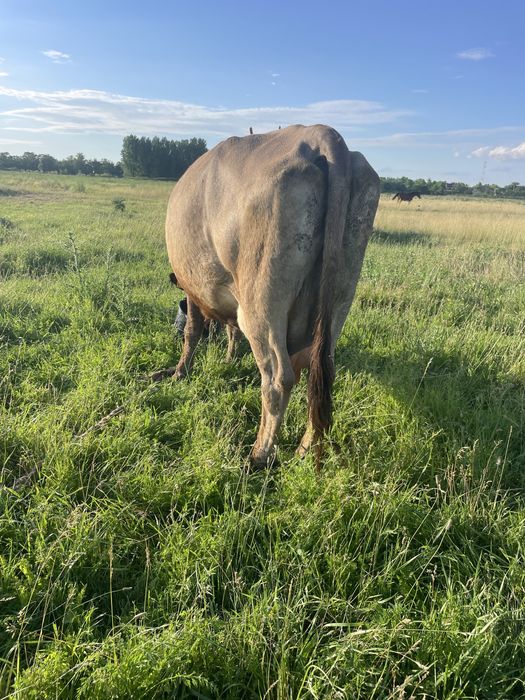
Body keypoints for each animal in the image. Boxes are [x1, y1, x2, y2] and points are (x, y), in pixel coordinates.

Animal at [164, 124, 380, 466]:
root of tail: (321, 135)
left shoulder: (194, 289)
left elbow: (192, 333)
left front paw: (179, 373)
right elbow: (230, 331)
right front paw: (228, 357)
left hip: (262, 301)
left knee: (278, 379)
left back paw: (259, 454)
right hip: (341, 292)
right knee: (322, 372)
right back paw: (304, 448)